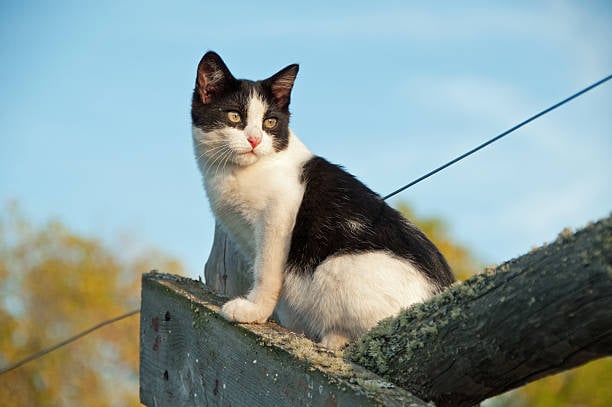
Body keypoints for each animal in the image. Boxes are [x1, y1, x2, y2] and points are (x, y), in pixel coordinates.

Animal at [191, 51, 454, 350]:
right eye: (234, 116)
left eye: (270, 122)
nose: (255, 140)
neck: (236, 172)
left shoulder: (278, 216)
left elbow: (267, 271)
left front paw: (254, 312)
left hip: (336, 266)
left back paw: (333, 339)